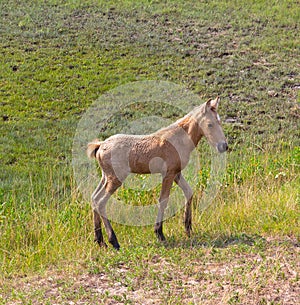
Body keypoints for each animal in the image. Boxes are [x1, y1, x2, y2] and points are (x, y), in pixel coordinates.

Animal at [86, 96, 227, 248]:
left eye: (219, 121)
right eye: (210, 124)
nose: (224, 146)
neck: (179, 139)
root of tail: (100, 146)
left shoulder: (177, 173)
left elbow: (189, 193)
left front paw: (188, 228)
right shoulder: (168, 173)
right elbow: (163, 200)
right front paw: (159, 233)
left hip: (105, 177)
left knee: (94, 198)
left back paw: (100, 240)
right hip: (115, 179)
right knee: (101, 202)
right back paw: (113, 241)